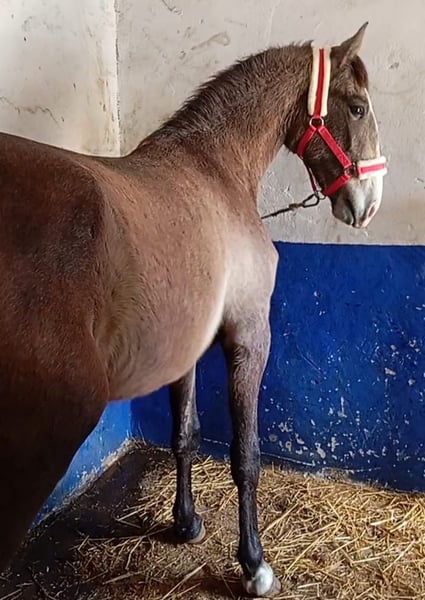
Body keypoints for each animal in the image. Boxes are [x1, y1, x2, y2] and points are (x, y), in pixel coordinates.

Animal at [0, 22, 386, 597]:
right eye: (358, 108)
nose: (369, 205)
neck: (214, 169)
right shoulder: (249, 336)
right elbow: (245, 455)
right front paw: (254, 565)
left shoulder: (185, 349)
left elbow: (185, 435)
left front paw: (185, 523)